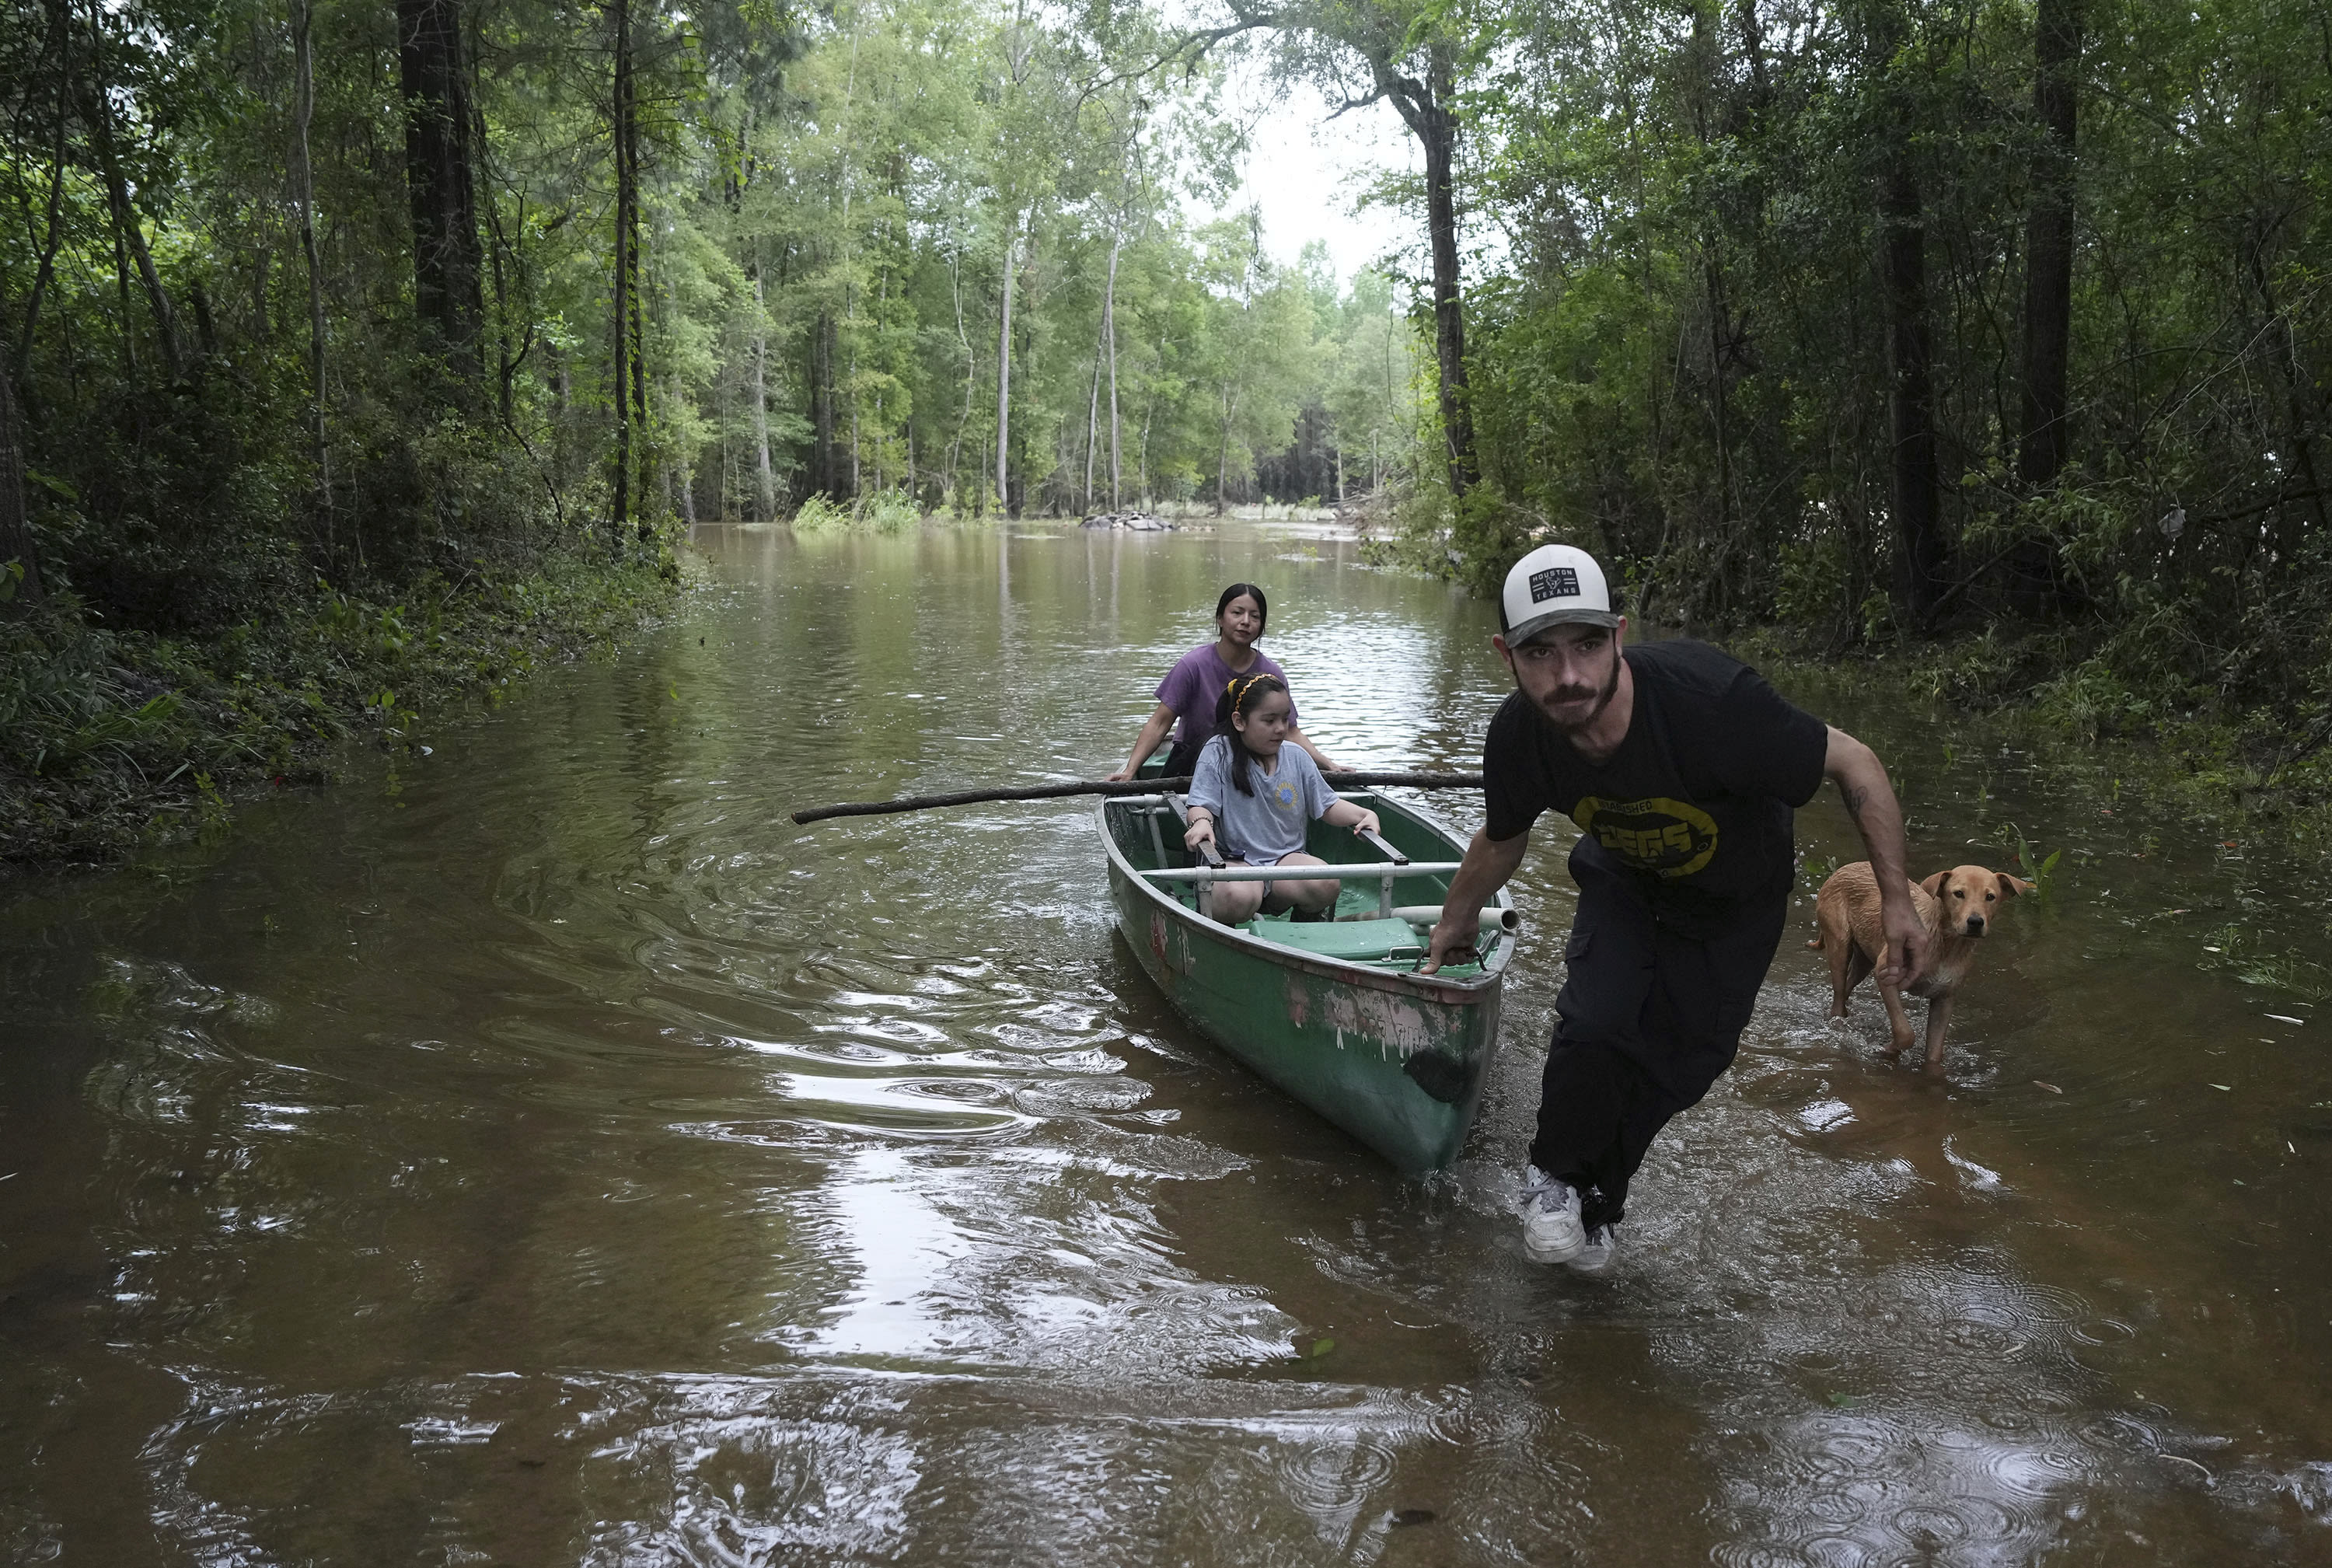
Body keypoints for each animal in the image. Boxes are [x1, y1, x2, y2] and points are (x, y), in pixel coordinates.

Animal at [1800, 863, 2024, 1073]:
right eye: (1959, 893)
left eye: (1990, 897)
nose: (1976, 922)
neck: (1947, 946)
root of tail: (1842, 869)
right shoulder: (1885, 975)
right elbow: (1905, 1033)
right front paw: (1887, 1050)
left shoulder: (1945, 999)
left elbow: (1935, 1053)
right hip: (1839, 945)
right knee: (1838, 996)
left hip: (1864, 958)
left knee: (1847, 988)